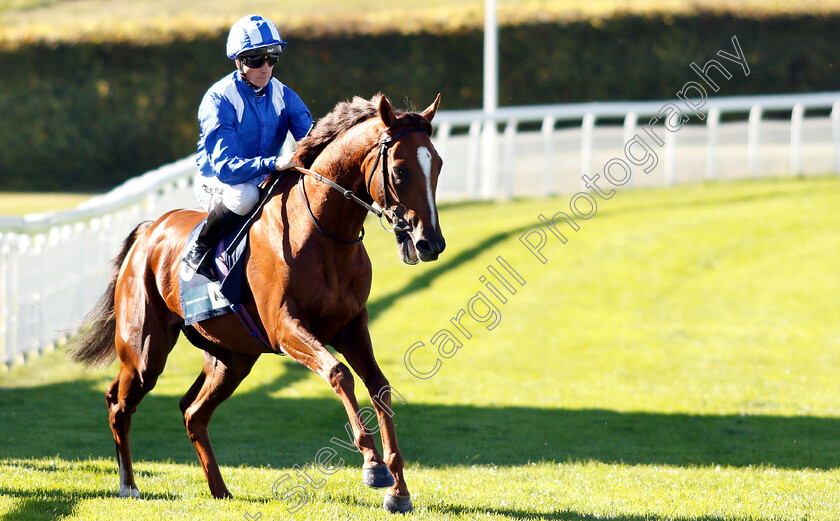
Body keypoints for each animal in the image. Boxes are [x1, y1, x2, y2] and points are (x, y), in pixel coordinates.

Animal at [66, 93, 446, 512]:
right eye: (399, 170)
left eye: (438, 165)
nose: (430, 243)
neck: (321, 232)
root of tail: (150, 230)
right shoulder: (285, 328)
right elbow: (339, 373)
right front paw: (373, 465)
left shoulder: (350, 326)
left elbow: (379, 387)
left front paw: (399, 489)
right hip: (144, 352)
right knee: (119, 404)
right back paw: (129, 485)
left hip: (232, 359)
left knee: (193, 413)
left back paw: (219, 489)